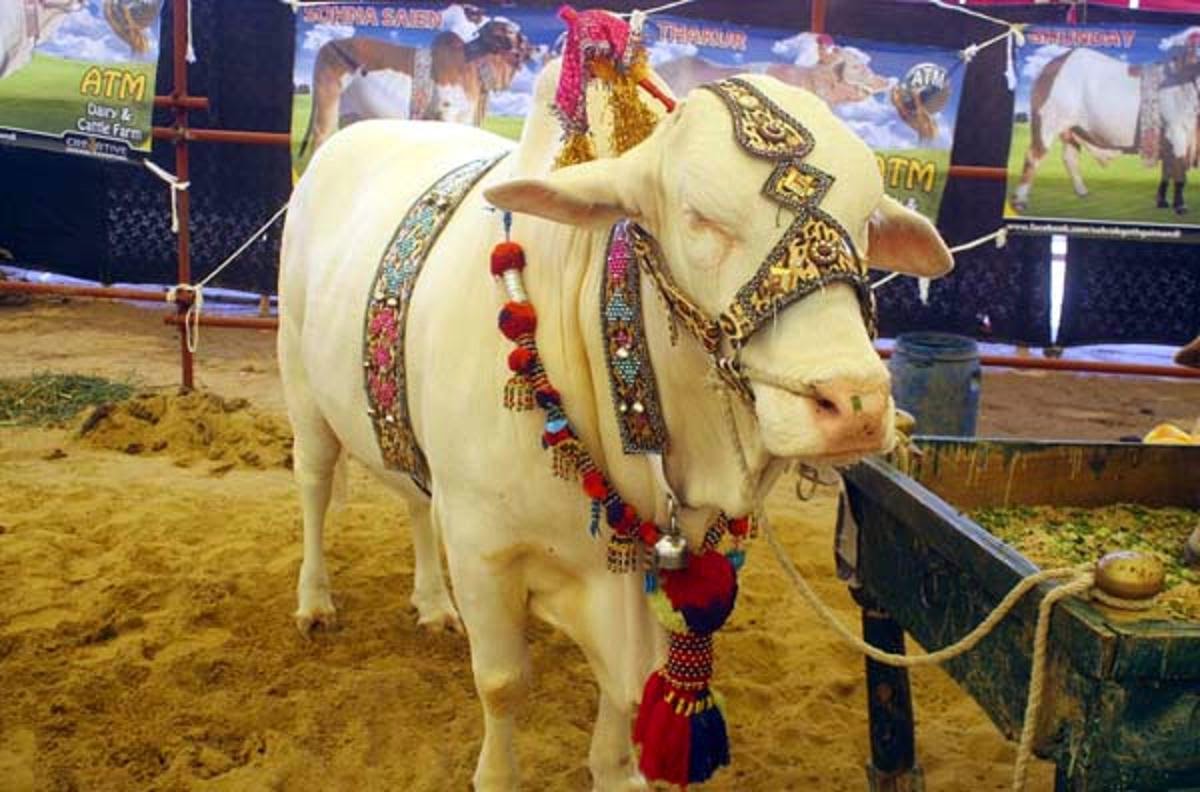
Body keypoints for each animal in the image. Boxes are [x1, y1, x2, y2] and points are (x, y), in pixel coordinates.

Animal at [278, 58, 952, 789]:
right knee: (313, 488)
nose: (853, 404)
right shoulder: (486, 549)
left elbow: (626, 697)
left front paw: (613, 767)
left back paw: (432, 603)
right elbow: (503, 685)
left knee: (411, 499)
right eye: (699, 218)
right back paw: (314, 602)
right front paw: (496, 772)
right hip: (303, 391)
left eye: (866, 222)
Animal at [297, 19, 531, 158]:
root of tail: (327, 45)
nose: (527, 45)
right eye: (507, 31)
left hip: (349, 113)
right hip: (327, 102)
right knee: (322, 135)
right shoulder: (448, 111)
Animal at [1012, 43, 1200, 215]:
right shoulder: (1177, 131)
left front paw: (1162, 202)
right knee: (1033, 157)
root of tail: (1058, 61)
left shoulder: (1168, 141)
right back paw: (1020, 201)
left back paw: (1082, 191)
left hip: (1072, 129)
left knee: (1070, 158)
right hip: (1047, 123)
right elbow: (1180, 172)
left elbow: (1167, 172)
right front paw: (1180, 206)